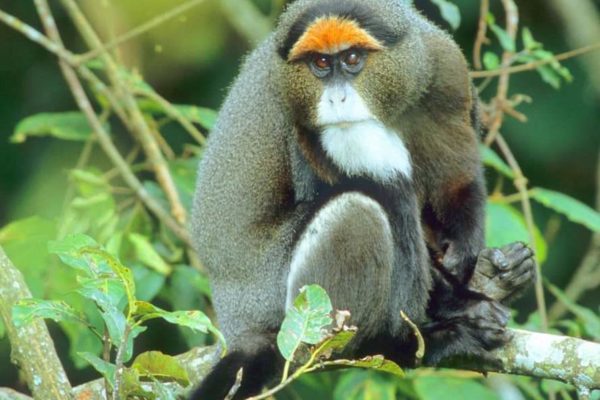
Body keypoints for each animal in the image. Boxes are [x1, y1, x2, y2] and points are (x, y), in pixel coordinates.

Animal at [188, 1, 536, 398]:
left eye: (352, 59)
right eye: (320, 64)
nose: (337, 99)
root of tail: (235, 323)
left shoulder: (444, 67)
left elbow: (456, 178)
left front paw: (468, 260)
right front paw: (454, 304)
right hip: (278, 302)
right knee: (361, 208)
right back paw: (409, 342)